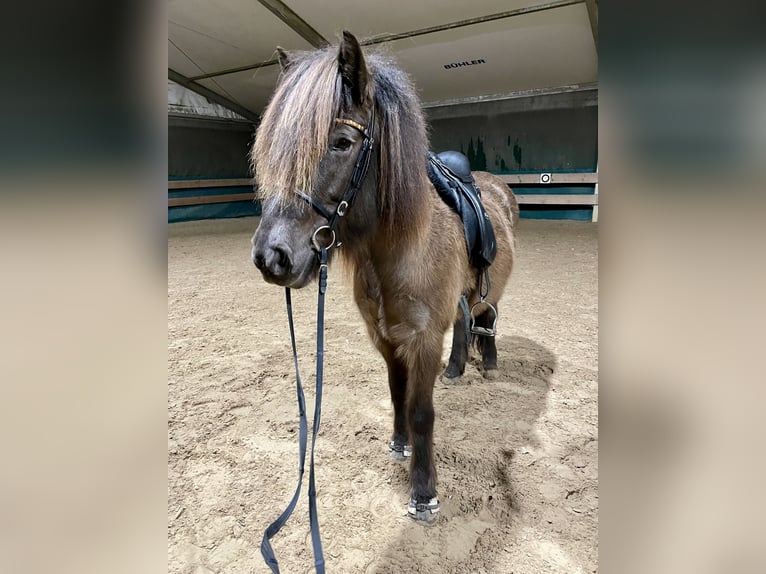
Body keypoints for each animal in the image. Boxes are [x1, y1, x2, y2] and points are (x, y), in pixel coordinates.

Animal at [251, 31, 519, 523]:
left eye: (341, 142)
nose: (270, 257)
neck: (399, 251)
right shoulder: (385, 336)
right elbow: (397, 393)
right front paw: (398, 445)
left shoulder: (422, 339)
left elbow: (421, 411)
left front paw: (424, 493)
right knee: (463, 321)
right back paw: (457, 369)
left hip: (490, 292)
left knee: (487, 316)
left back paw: (488, 364)